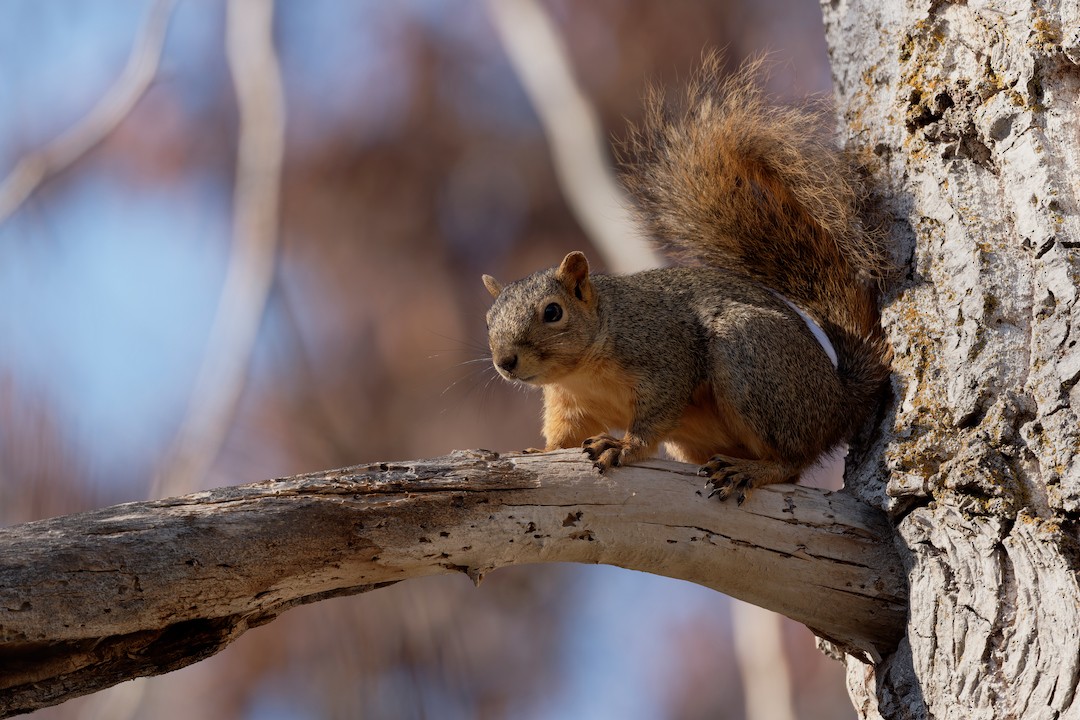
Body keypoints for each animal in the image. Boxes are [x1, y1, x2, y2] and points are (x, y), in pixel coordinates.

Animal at [481, 56, 892, 503]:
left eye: (553, 312)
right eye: (488, 320)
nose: (505, 362)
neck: (583, 368)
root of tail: (838, 402)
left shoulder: (665, 358)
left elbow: (653, 418)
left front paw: (623, 445)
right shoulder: (568, 404)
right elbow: (564, 438)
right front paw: (541, 451)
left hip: (751, 360)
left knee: (792, 461)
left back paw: (749, 470)